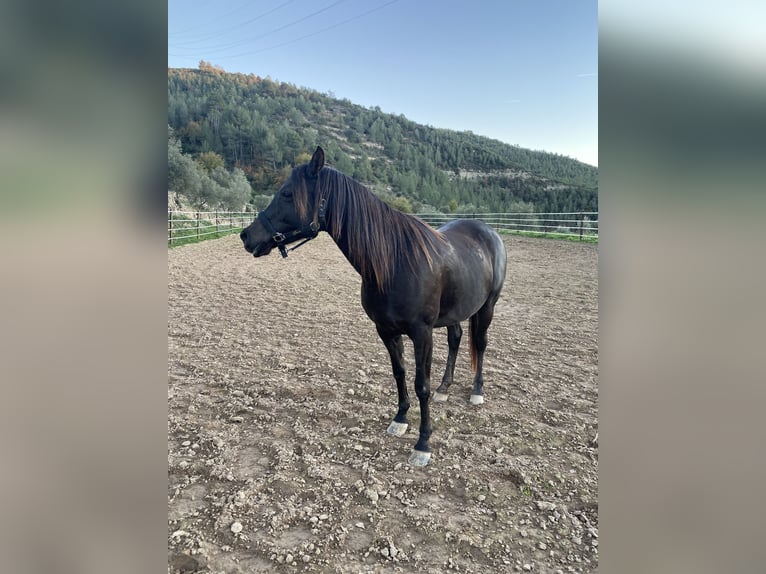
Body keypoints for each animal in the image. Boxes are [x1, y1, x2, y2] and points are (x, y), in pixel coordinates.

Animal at [237, 148, 508, 468]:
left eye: (288, 193)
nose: (247, 236)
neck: (395, 262)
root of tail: (489, 232)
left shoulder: (422, 333)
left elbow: (421, 384)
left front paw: (423, 444)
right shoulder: (386, 330)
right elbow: (399, 373)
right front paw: (400, 419)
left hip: (487, 307)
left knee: (480, 343)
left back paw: (477, 392)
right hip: (455, 311)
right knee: (456, 339)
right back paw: (445, 389)